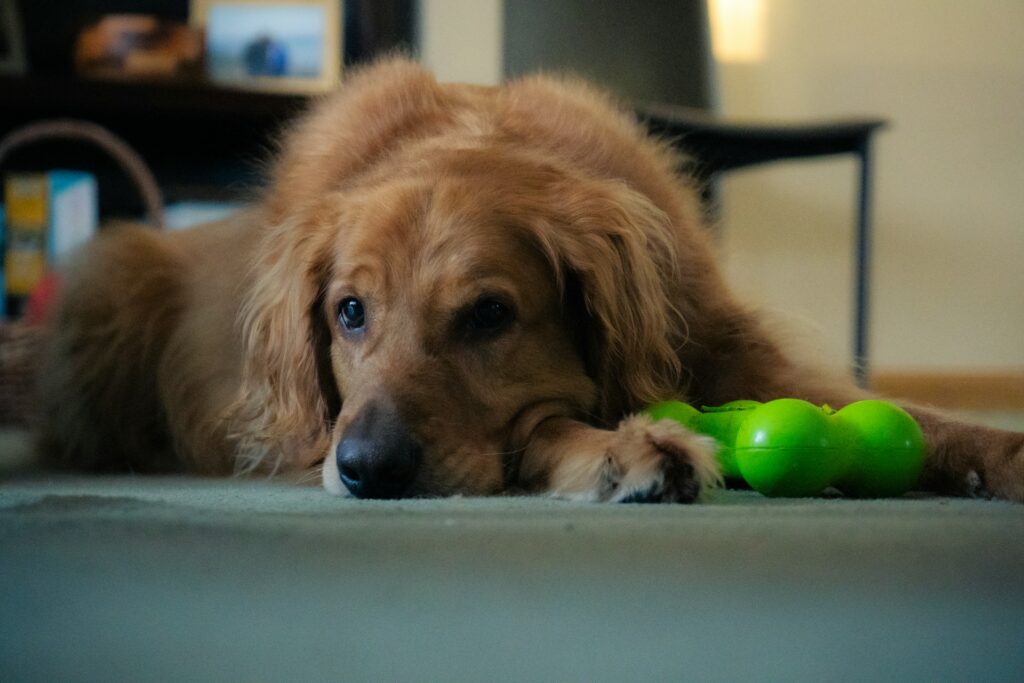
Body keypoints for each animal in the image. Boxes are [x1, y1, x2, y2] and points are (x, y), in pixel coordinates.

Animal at [36, 57, 1019, 501]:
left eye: (488, 315)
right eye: (349, 312)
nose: (365, 468)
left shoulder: (731, 347)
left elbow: (917, 417)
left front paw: (1000, 452)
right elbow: (542, 424)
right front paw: (629, 449)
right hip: (109, 280)